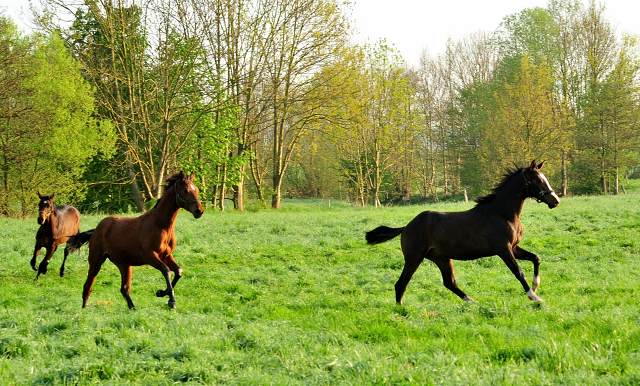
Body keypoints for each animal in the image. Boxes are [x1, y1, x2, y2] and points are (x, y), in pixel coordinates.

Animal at [66, 170, 204, 310]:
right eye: (185, 191)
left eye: (197, 190)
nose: (199, 211)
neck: (161, 225)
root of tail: (96, 230)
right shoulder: (150, 256)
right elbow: (166, 270)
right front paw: (171, 300)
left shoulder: (166, 255)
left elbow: (178, 271)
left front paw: (161, 292)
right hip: (96, 260)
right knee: (88, 286)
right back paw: (84, 309)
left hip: (124, 264)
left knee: (124, 289)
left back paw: (133, 308)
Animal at [364, 160, 560, 304]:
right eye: (537, 180)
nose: (555, 200)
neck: (501, 213)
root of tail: (406, 227)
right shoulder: (503, 249)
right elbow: (518, 271)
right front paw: (534, 297)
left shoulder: (513, 247)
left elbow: (535, 258)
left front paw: (535, 286)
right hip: (414, 258)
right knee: (401, 284)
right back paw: (400, 311)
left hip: (441, 258)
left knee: (449, 282)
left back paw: (471, 301)